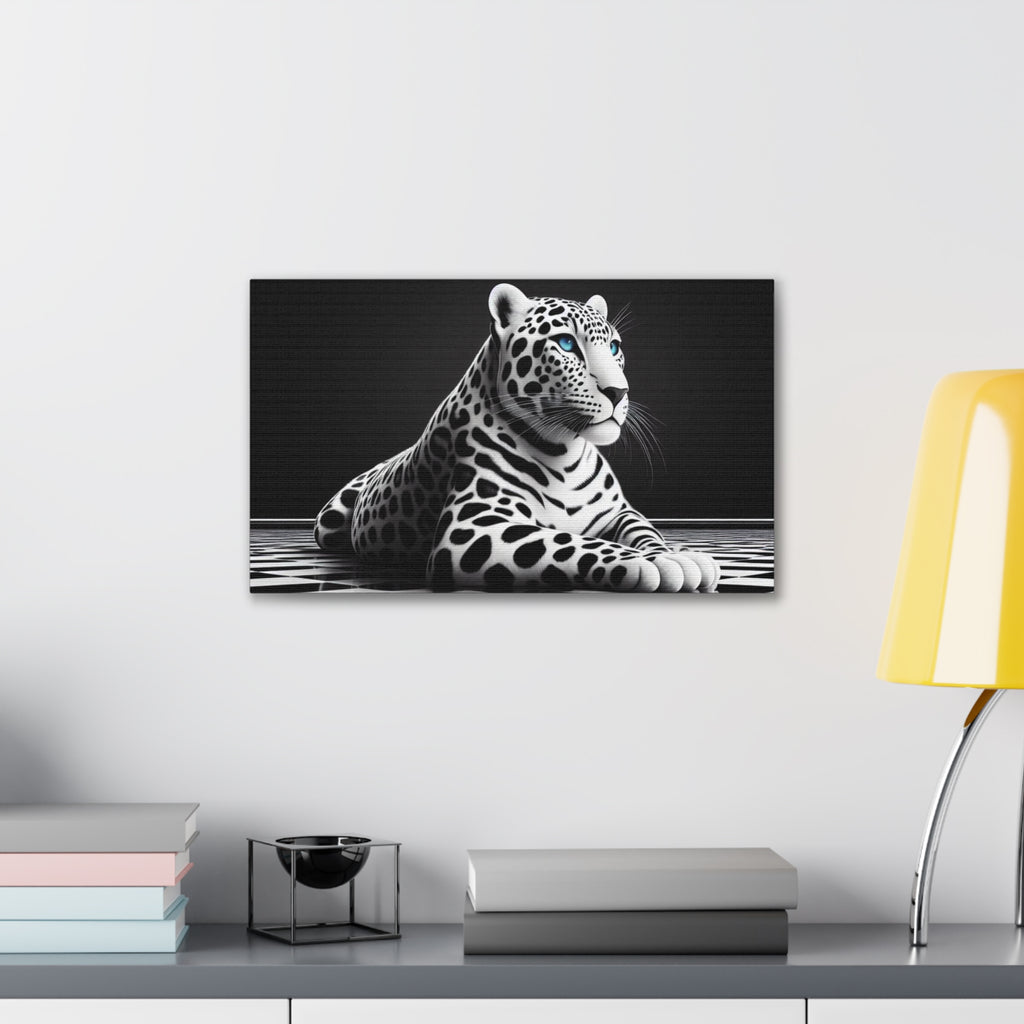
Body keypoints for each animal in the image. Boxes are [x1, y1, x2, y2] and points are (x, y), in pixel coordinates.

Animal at [314, 283, 721, 593]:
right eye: (566, 344)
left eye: (614, 348)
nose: (619, 392)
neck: (565, 452)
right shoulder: (474, 525)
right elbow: (569, 542)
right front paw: (654, 563)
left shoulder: (618, 512)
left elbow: (644, 531)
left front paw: (672, 551)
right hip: (328, 522)